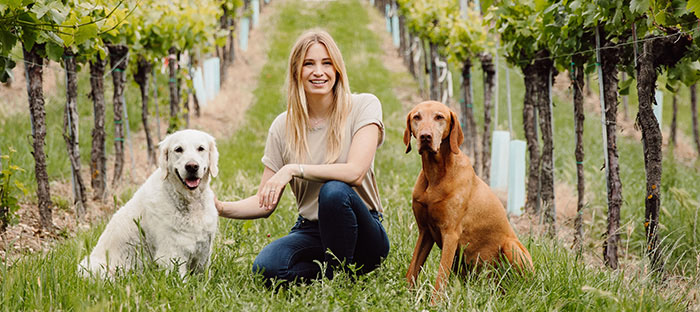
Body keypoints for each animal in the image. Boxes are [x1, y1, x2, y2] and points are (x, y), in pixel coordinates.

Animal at [78, 129, 219, 278]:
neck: (191, 201)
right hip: (96, 269)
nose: (192, 166)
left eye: (201, 148)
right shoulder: (171, 254)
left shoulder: (204, 251)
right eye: (178, 149)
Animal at [402, 101, 532, 302]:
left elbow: (441, 276)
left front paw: (434, 304)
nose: (425, 137)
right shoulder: (425, 231)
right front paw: (405, 298)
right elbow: (413, 268)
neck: (436, 174)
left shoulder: (451, 234)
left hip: (512, 247)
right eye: (417, 117)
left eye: (439, 117)